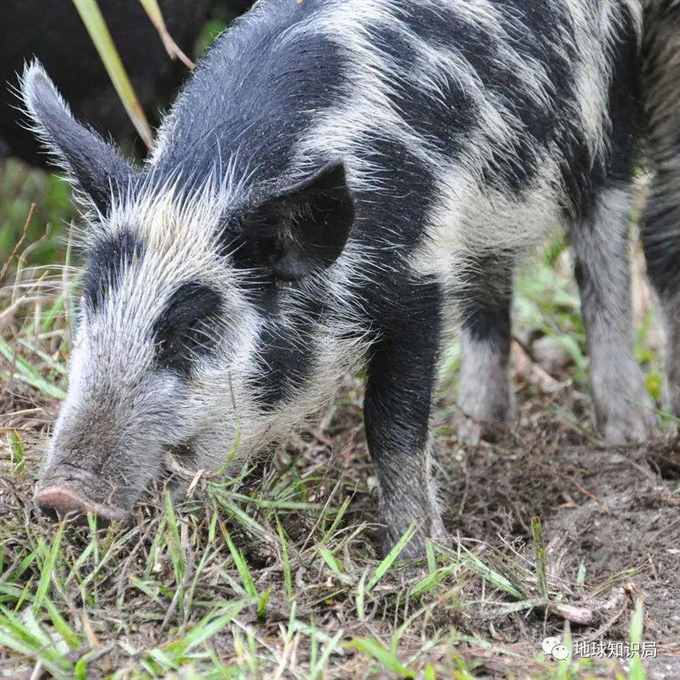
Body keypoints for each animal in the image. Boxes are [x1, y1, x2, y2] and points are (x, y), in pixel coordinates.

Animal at [22, 0, 652, 556]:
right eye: (87, 311)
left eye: (195, 332)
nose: (61, 496)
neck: (213, 179)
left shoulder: (420, 274)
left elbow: (391, 423)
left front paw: (416, 556)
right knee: (491, 289)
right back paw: (479, 429)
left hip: (610, 122)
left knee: (605, 261)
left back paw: (626, 433)